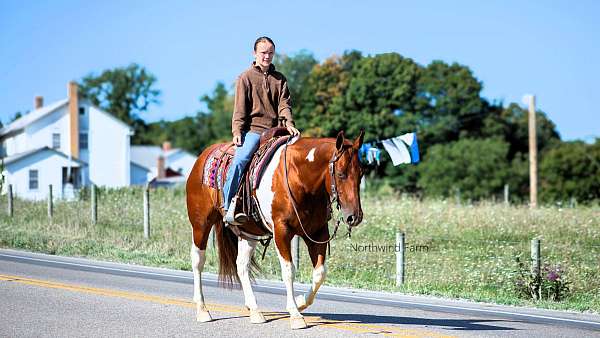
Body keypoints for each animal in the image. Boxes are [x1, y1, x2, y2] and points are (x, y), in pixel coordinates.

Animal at [186, 130, 366, 330]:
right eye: (341, 174)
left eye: (361, 173)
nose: (354, 217)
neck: (299, 177)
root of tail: (202, 157)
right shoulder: (282, 231)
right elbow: (288, 271)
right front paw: (295, 315)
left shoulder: (317, 233)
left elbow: (320, 273)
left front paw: (300, 302)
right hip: (201, 225)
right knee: (198, 261)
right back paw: (203, 310)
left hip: (248, 234)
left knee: (241, 265)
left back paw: (255, 311)